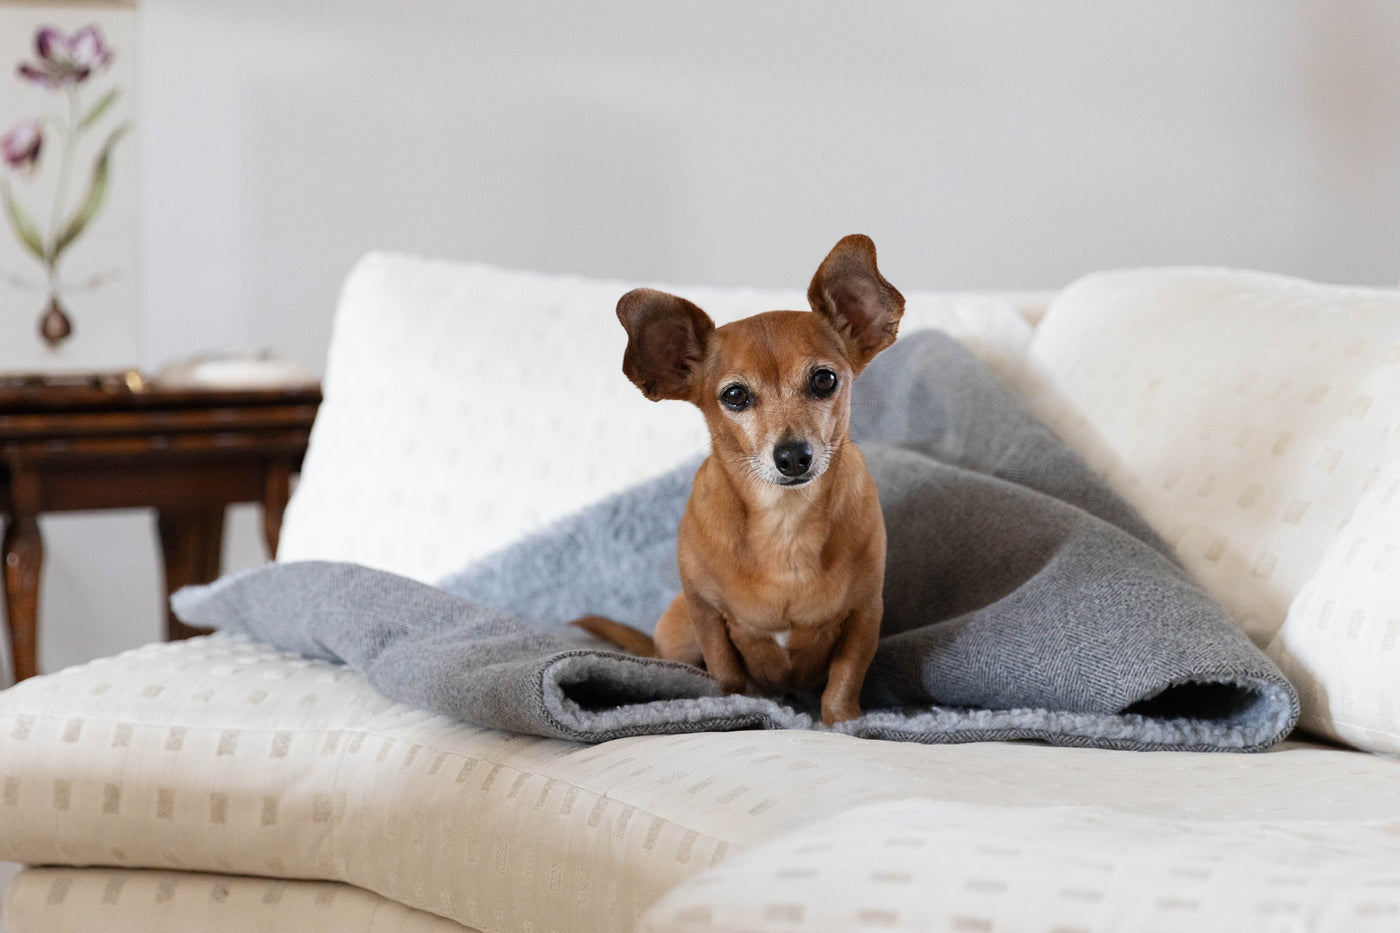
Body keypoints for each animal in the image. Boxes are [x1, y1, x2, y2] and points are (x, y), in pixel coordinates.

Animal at [574, 233, 901, 728]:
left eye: (825, 379)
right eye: (734, 396)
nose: (793, 456)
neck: (785, 523)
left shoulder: (865, 613)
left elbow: (844, 681)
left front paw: (845, 723)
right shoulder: (706, 614)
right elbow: (728, 673)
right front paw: (742, 708)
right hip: (678, 628)